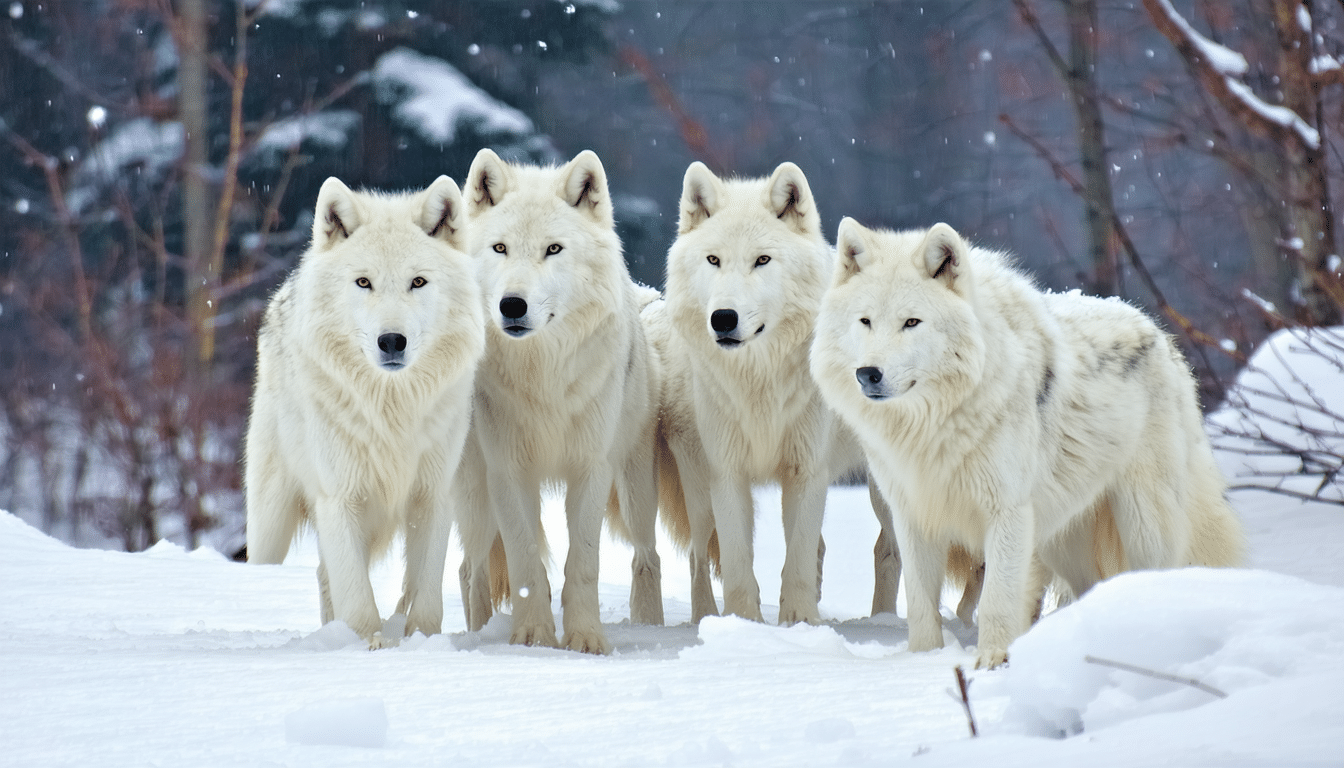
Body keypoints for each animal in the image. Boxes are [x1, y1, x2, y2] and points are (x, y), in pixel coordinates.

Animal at [245, 176, 485, 648]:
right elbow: (357, 597)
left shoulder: (433, 495)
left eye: (418, 282)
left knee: (324, 574)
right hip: (270, 521)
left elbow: (426, 595)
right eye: (363, 282)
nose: (391, 341)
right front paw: (367, 646)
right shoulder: (339, 498)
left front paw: (423, 643)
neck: (390, 408)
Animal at [454, 148, 663, 654]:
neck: (542, 375)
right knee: (470, 568)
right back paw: (479, 633)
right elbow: (526, 561)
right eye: (500, 249)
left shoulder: (591, 467)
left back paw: (651, 626)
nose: (512, 305)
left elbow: (582, 563)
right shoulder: (508, 471)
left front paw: (585, 638)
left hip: (635, 491)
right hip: (475, 494)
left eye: (553, 249)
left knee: (647, 556)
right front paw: (532, 635)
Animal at [647, 161, 910, 627]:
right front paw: (744, 625)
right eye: (713, 259)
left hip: (882, 486)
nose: (723, 318)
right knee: (699, 555)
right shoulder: (726, 472)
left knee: (887, 549)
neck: (758, 381)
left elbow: (799, 561)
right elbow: (738, 563)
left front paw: (801, 623)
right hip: (695, 483)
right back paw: (703, 620)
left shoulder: (807, 471)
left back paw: (883, 622)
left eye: (762, 260)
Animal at [811, 218, 1246, 668]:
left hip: (1143, 527)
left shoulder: (1007, 513)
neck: (933, 424)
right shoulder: (914, 515)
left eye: (912, 322)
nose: (868, 374)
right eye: (865, 321)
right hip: (1062, 541)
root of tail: (1160, 335)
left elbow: (997, 600)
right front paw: (922, 659)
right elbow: (920, 604)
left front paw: (990, 662)